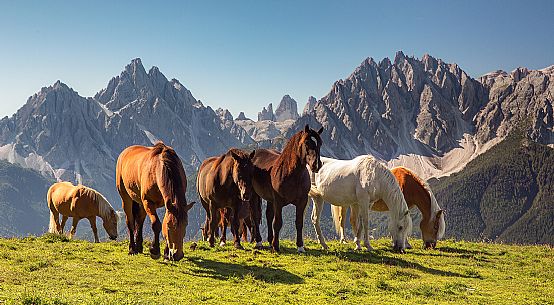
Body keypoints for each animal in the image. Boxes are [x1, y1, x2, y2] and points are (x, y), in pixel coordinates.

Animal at [251, 123, 324, 252]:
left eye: (320, 143)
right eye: (306, 142)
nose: (316, 165)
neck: (292, 174)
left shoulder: (302, 201)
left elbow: (299, 223)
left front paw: (300, 247)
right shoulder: (278, 202)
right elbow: (277, 223)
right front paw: (276, 246)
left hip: (270, 200)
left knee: (268, 216)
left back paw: (270, 241)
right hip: (255, 195)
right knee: (256, 216)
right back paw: (259, 242)